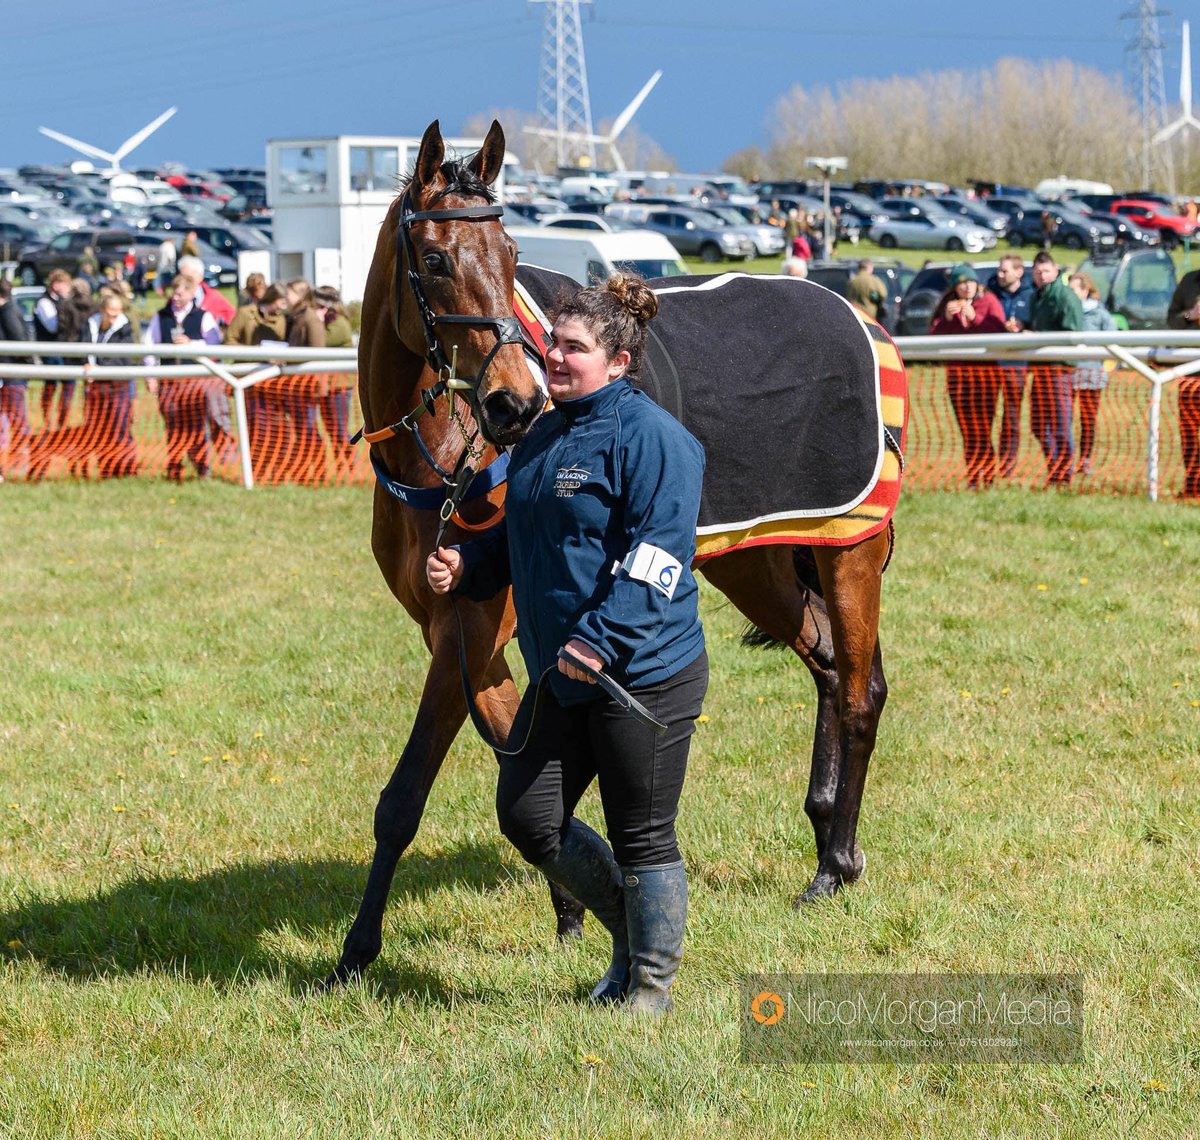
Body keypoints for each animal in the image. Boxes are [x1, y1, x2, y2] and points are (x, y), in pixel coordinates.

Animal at [324, 119, 904, 989]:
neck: (443, 460)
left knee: (863, 691)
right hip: (755, 562)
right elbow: (522, 770)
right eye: (434, 259)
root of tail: (864, 322)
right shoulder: (460, 638)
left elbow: (403, 800)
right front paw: (574, 914)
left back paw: (832, 866)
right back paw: (829, 828)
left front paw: (358, 949)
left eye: (508, 252)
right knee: (830, 665)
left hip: (849, 549)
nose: (514, 402)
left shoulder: (469, 631)